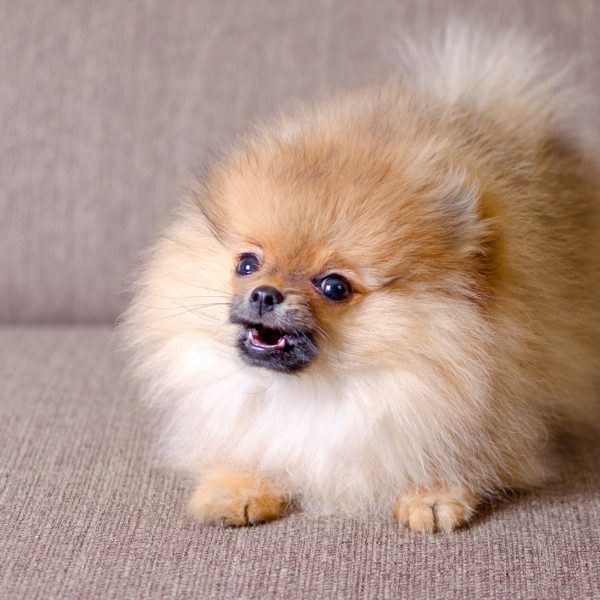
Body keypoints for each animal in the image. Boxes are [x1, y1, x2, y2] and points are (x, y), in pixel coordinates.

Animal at [119, 24, 596, 528]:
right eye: (247, 263)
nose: (265, 294)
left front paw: (433, 494)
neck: (318, 393)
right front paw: (236, 486)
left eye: (334, 286)